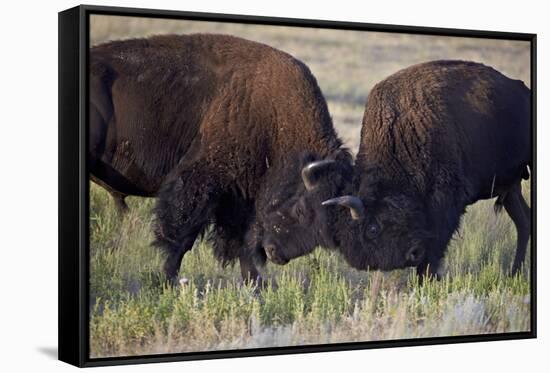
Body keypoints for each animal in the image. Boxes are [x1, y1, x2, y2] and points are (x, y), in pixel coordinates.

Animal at [89, 33, 352, 282]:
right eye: (301, 209)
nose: (276, 253)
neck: (278, 120)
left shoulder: (239, 198)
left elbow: (241, 242)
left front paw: (258, 285)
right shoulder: (200, 181)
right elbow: (183, 235)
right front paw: (168, 279)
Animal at [260, 60, 532, 276]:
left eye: (372, 228)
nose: (410, 255)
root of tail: (523, 90)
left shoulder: (447, 203)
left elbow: (435, 251)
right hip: (512, 187)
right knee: (524, 221)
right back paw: (514, 274)